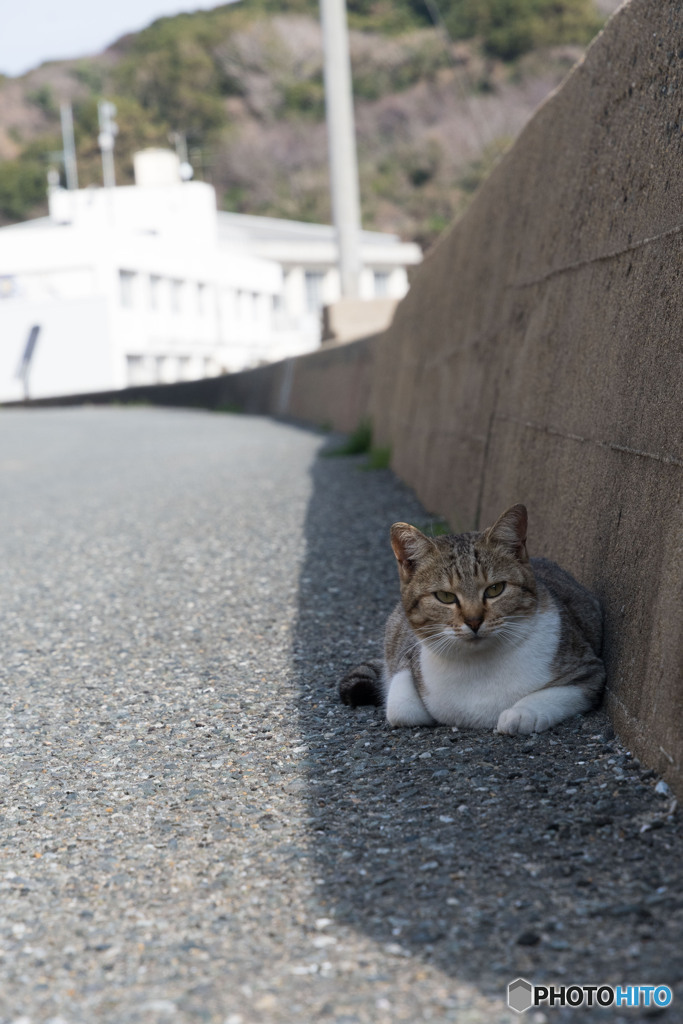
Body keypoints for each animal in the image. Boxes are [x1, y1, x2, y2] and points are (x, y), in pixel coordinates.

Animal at [339, 505, 602, 737]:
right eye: (445, 596)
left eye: (495, 589)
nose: (474, 621)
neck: (478, 664)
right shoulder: (407, 657)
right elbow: (402, 709)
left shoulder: (589, 671)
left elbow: (556, 694)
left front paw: (521, 714)